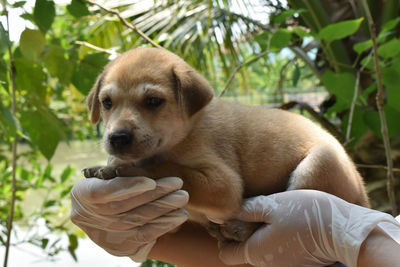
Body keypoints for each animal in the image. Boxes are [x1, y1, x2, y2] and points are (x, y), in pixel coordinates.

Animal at [83, 47, 370, 242]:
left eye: (153, 101)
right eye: (107, 103)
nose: (117, 138)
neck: (188, 130)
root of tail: (363, 192)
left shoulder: (224, 184)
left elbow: (171, 168)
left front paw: (126, 168)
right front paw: (110, 164)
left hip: (319, 164)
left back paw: (240, 228)